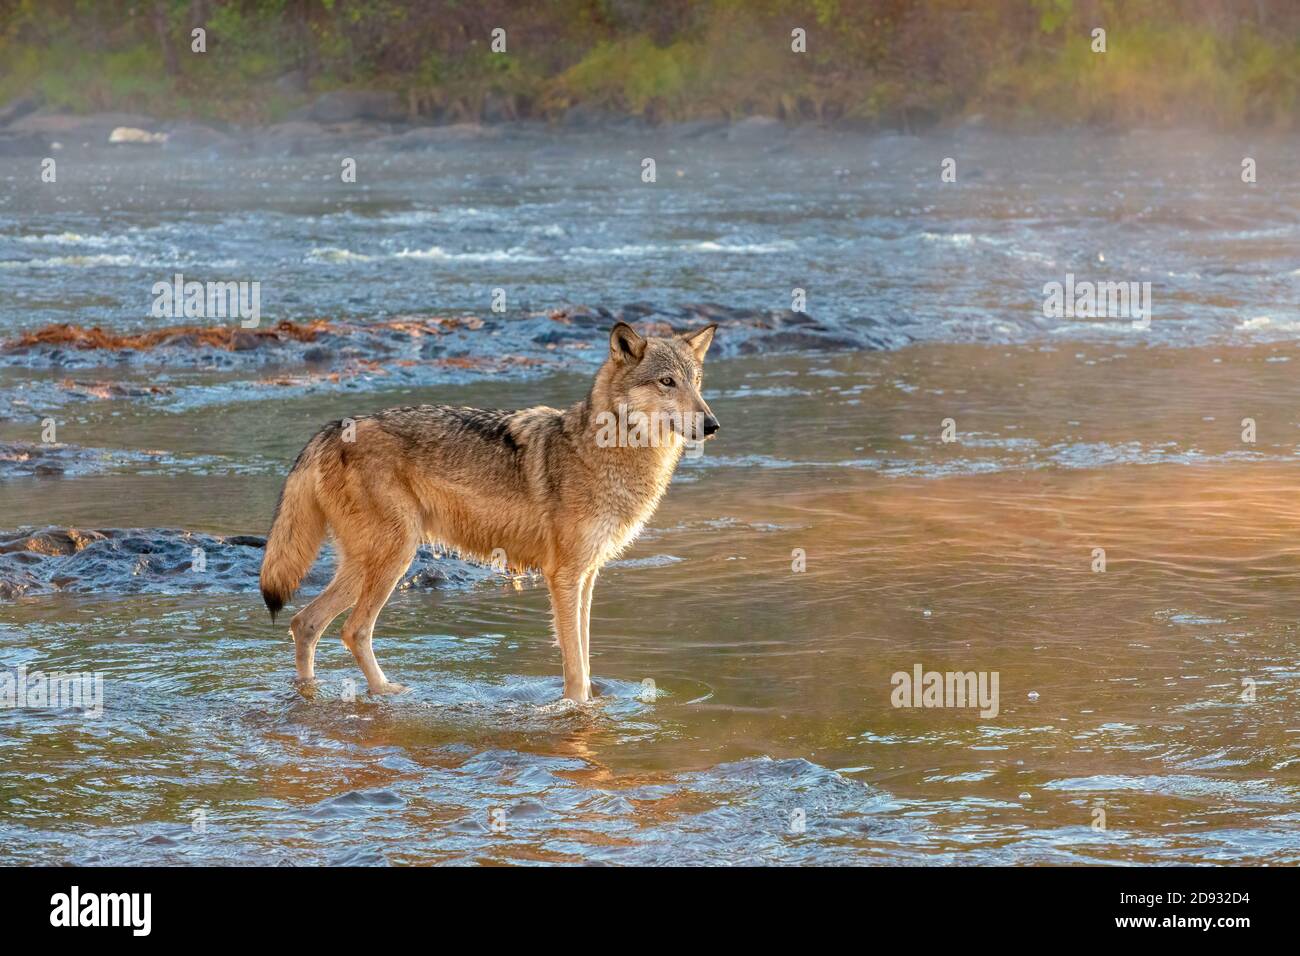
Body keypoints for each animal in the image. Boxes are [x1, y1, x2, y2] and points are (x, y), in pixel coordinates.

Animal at [259, 322, 718, 703]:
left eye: (696, 383)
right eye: (666, 382)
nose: (712, 424)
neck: (606, 451)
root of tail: (334, 426)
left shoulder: (587, 576)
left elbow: (585, 659)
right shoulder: (563, 577)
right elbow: (574, 666)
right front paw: (576, 711)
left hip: (366, 565)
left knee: (304, 622)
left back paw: (308, 692)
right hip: (393, 559)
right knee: (352, 630)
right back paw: (387, 693)